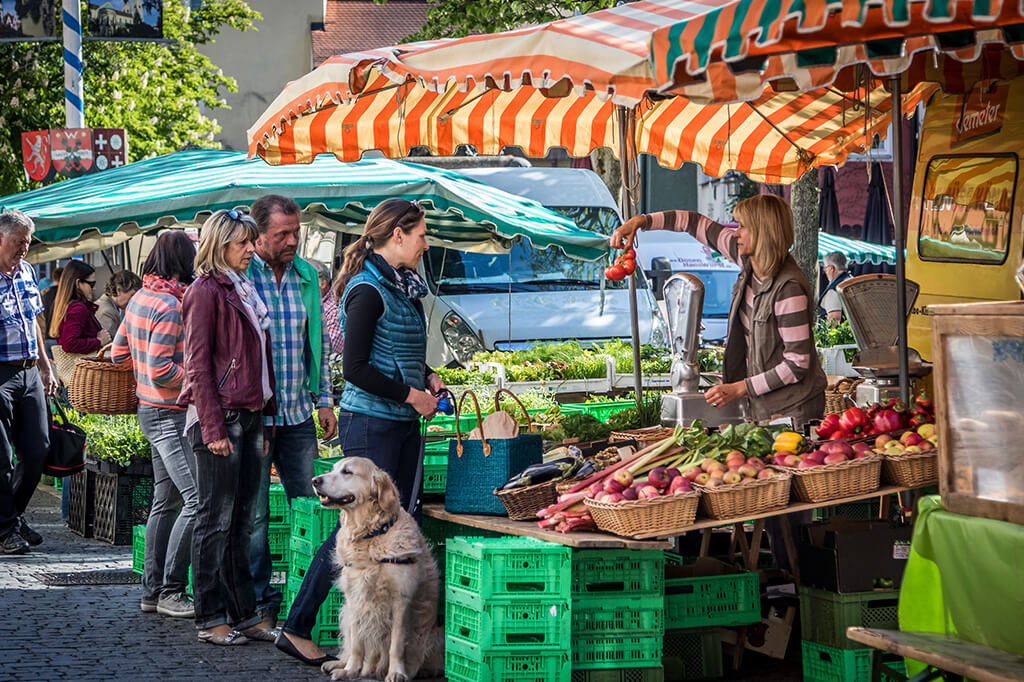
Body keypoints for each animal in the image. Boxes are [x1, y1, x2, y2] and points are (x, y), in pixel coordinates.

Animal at [309, 456, 442, 679]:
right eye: (333, 469)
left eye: (347, 471)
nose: (315, 480)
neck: (370, 535)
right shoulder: (355, 597)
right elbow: (357, 643)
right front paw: (350, 670)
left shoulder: (401, 600)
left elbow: (396, 644)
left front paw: (396, 672)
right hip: (345, 612)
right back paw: (338, 664)